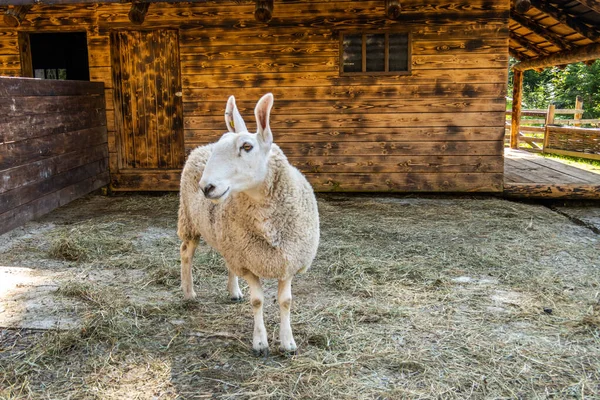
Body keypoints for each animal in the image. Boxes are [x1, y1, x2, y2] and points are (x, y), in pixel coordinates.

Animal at [177, 92, 322, 354]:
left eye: (247, 147)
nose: (206, 187)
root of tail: (201, 147)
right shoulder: (247, 263)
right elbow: (257, 300)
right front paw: (260, 342)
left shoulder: (288, 260)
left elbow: (286, 301)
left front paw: (288, 342)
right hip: (189, 220)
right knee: (186, 253)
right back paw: (189, 292)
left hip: (227, 240)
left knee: (227, 263)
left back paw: (233, 291)